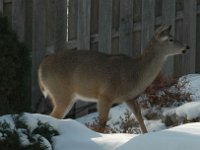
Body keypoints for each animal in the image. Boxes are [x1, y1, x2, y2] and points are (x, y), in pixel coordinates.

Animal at [38, 24, 189, 134]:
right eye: (170, 39)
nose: (187, 47)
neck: (135, 73)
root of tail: (40, 68)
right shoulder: (105, 95)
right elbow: (102, 124)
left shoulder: (129, 97)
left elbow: (140, 118)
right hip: (60, 92)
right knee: (52, 116)